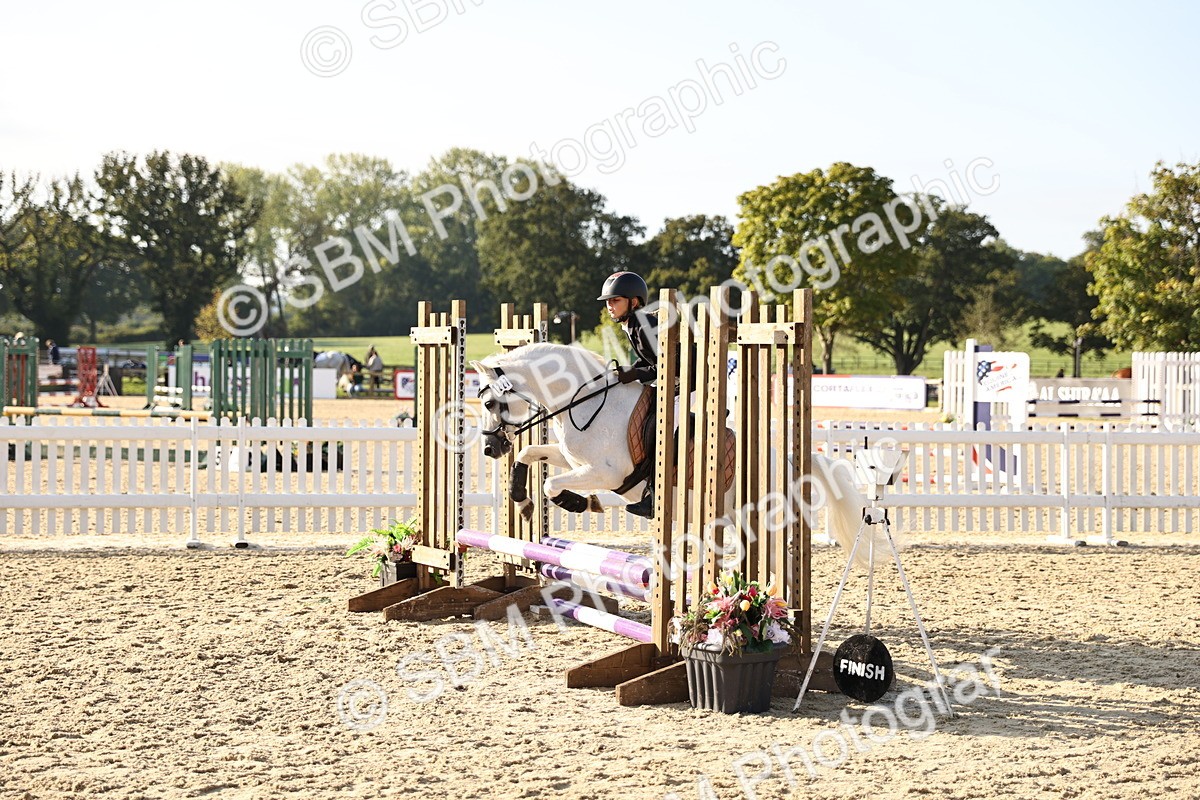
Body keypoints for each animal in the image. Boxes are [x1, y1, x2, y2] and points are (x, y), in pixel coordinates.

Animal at [470, 342, 873, 565]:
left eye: (490, 402)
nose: (490, 448)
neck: (583, 400)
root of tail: (787, 461)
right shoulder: (572, 459)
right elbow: (530, 454)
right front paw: (522, 501)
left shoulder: (607, 472)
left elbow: (552, 485)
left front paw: (582, 503)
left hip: (758, 518)